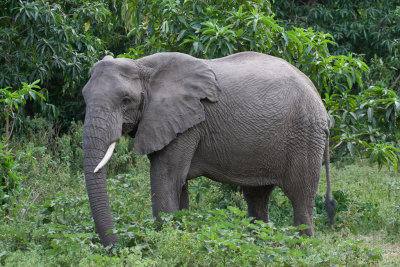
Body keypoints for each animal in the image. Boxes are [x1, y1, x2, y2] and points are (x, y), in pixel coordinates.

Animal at [83, 51, 336, 247]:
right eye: (84, 98)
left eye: (126, 100)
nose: (117, 248)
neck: (142, 66)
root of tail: (321, 103)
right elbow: (178, 187)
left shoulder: (187, 122)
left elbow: (166, 179)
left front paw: (163, 245)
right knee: (257, 197)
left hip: (305, 136)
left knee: (300, 198)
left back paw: (302, 249)